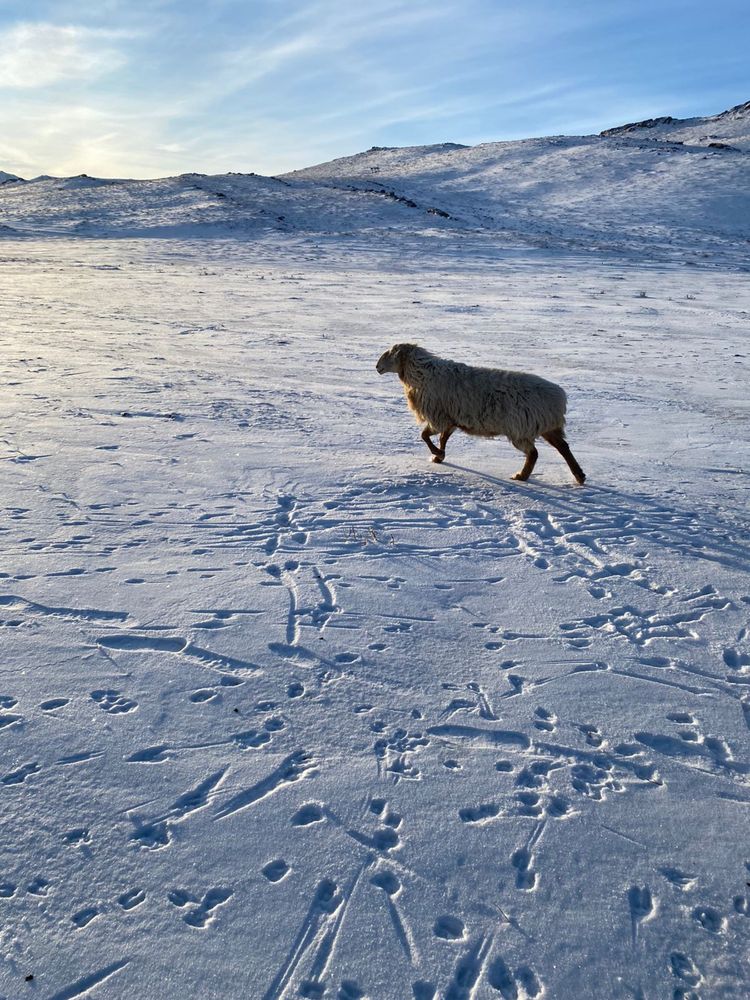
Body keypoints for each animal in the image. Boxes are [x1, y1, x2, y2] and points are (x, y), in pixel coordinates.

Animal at [376, 344, 588, 484]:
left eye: (389, 354)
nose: (377, 367)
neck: (421, 374)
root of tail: (558, 398)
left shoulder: (438, 416)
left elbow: (425, 435)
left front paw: (437, 454)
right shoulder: (451, 419)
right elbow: (443, 438)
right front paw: (439, 457)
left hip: (520, 428)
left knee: (534, 454)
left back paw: (521, 476)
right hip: (544, 426)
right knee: (563, 447)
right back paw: (579, 476)